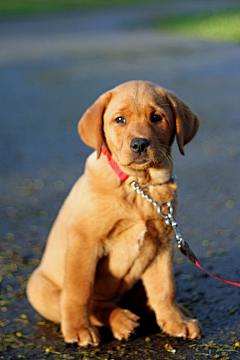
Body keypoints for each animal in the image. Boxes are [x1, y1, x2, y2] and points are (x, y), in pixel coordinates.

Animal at [27, 81, 202, 346]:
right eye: (120, 119)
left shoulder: (162, 244)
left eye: (156, 117)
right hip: (37, 288)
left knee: (139, 296)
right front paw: (77, 328)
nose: (139, 144)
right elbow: (79, 291)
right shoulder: (83, 240)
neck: (139, 186)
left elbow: (164, 287)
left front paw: (174, 321)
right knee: (90, 304)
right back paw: (120, 321)